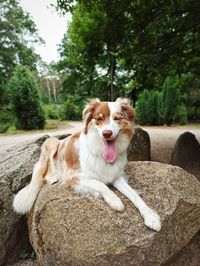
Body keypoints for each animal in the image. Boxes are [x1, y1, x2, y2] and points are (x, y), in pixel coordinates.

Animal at [13, 97, 161, 231]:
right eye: (98, 119)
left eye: (117, 118)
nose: (107, 133)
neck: (101, 152)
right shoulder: (73, 176)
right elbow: (100, 184)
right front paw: (115, 200)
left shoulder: (116, 176)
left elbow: (135, 195)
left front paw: (151, 216)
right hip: (52, 142)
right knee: (45, 170)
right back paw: (53, 176)